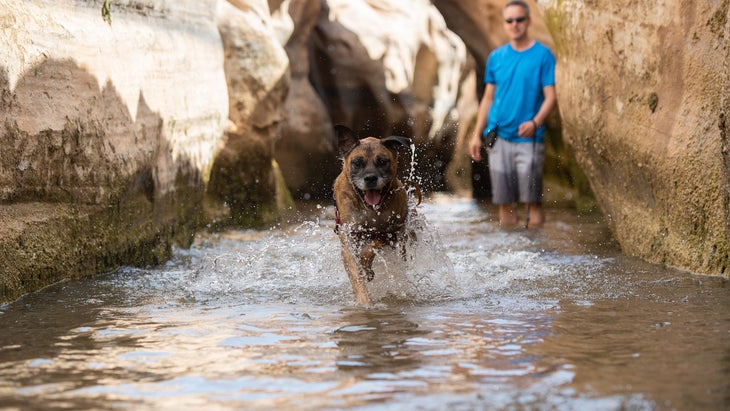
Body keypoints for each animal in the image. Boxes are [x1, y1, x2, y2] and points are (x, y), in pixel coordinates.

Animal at [332, 125, 412, 306]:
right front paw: (364, 301)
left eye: (382, 161)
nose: (370, 178)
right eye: (357, 162)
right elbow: (356, 274)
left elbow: (370, 248)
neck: (370, 210)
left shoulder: (391, 233)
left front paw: (366, 267)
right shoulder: (348, 241)